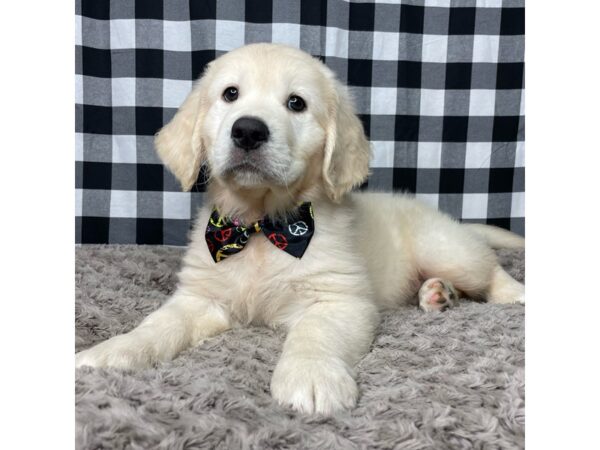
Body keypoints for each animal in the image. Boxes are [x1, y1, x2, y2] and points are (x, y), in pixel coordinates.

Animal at [76, 43, 524, 414]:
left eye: (296, 103)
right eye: (230, 94)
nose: (248, 130)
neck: (260, 226)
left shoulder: (337, 299)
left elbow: (314, 334)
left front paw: (311, 377)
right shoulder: (200, 297)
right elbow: (158, 326)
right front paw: (113, 352)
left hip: (446, 248)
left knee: (489, 270)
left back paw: (510, 293)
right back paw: (437, 294)